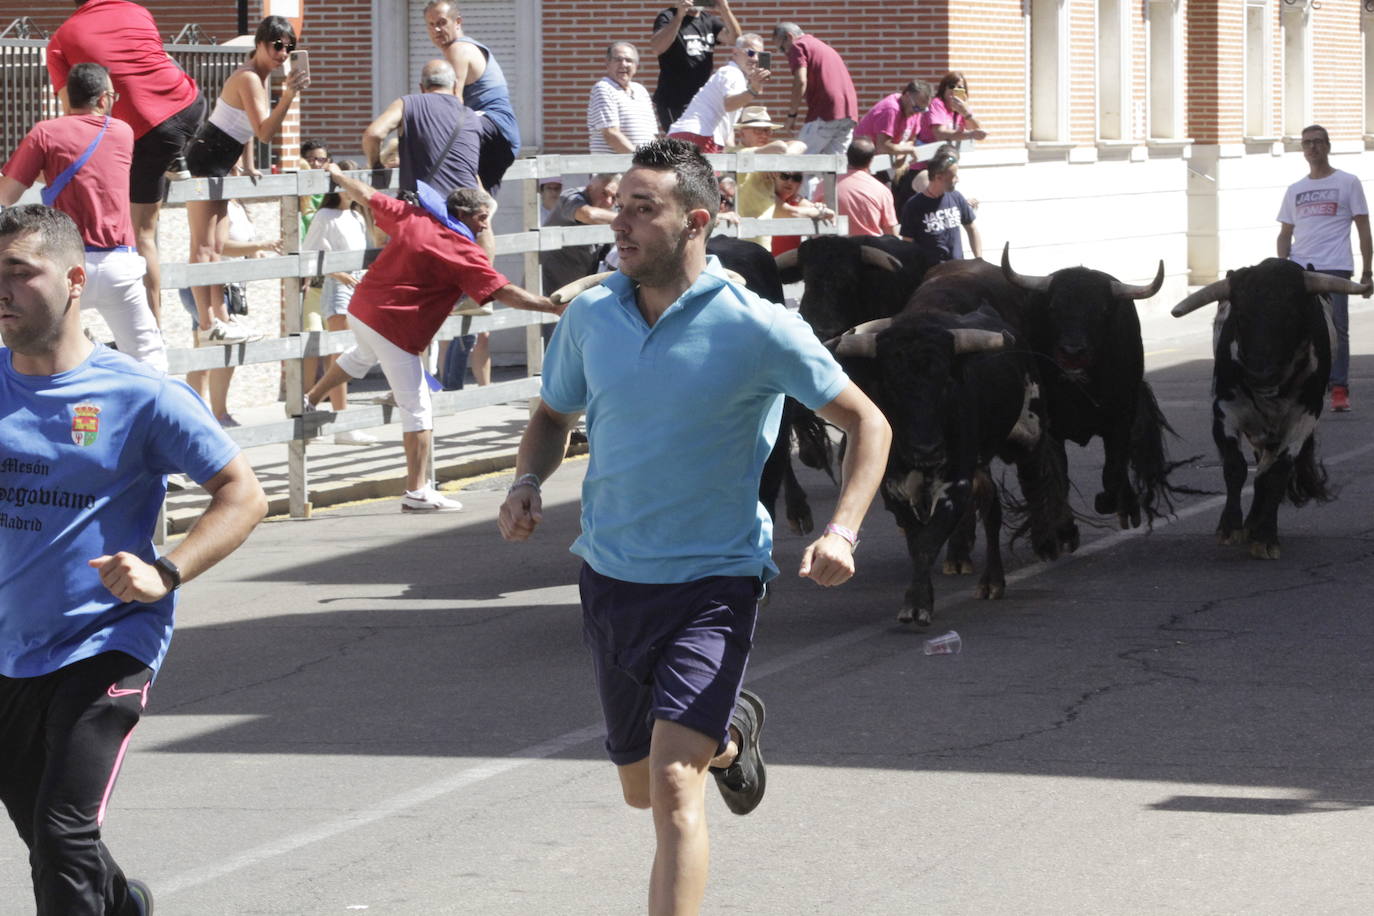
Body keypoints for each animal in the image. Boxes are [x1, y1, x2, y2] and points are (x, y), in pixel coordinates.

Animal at [1170, 258, 1363, 560]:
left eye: (1290, 315)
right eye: (1242, 316)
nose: (1259, 374)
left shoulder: (1303, 419)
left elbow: (1276, 474)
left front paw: (1265, 537)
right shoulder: (1224, 410)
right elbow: (1235, 467)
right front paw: (1230, 527)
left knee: (1265, 473)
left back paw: (1257, 524)